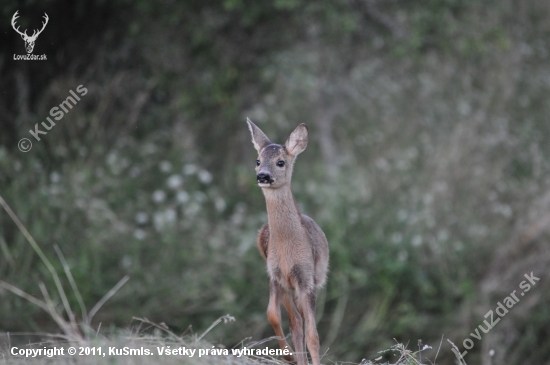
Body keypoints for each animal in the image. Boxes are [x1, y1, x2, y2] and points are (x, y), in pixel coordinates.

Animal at [248, 118, 330, 364]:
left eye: (281, 162)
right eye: (258, 160)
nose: (263, 176)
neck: (288, 249)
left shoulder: (306, 279)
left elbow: (313, 335)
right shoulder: (276, 275)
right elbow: (273, 315)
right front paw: (289, 356)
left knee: (303, 323)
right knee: (295, 322)